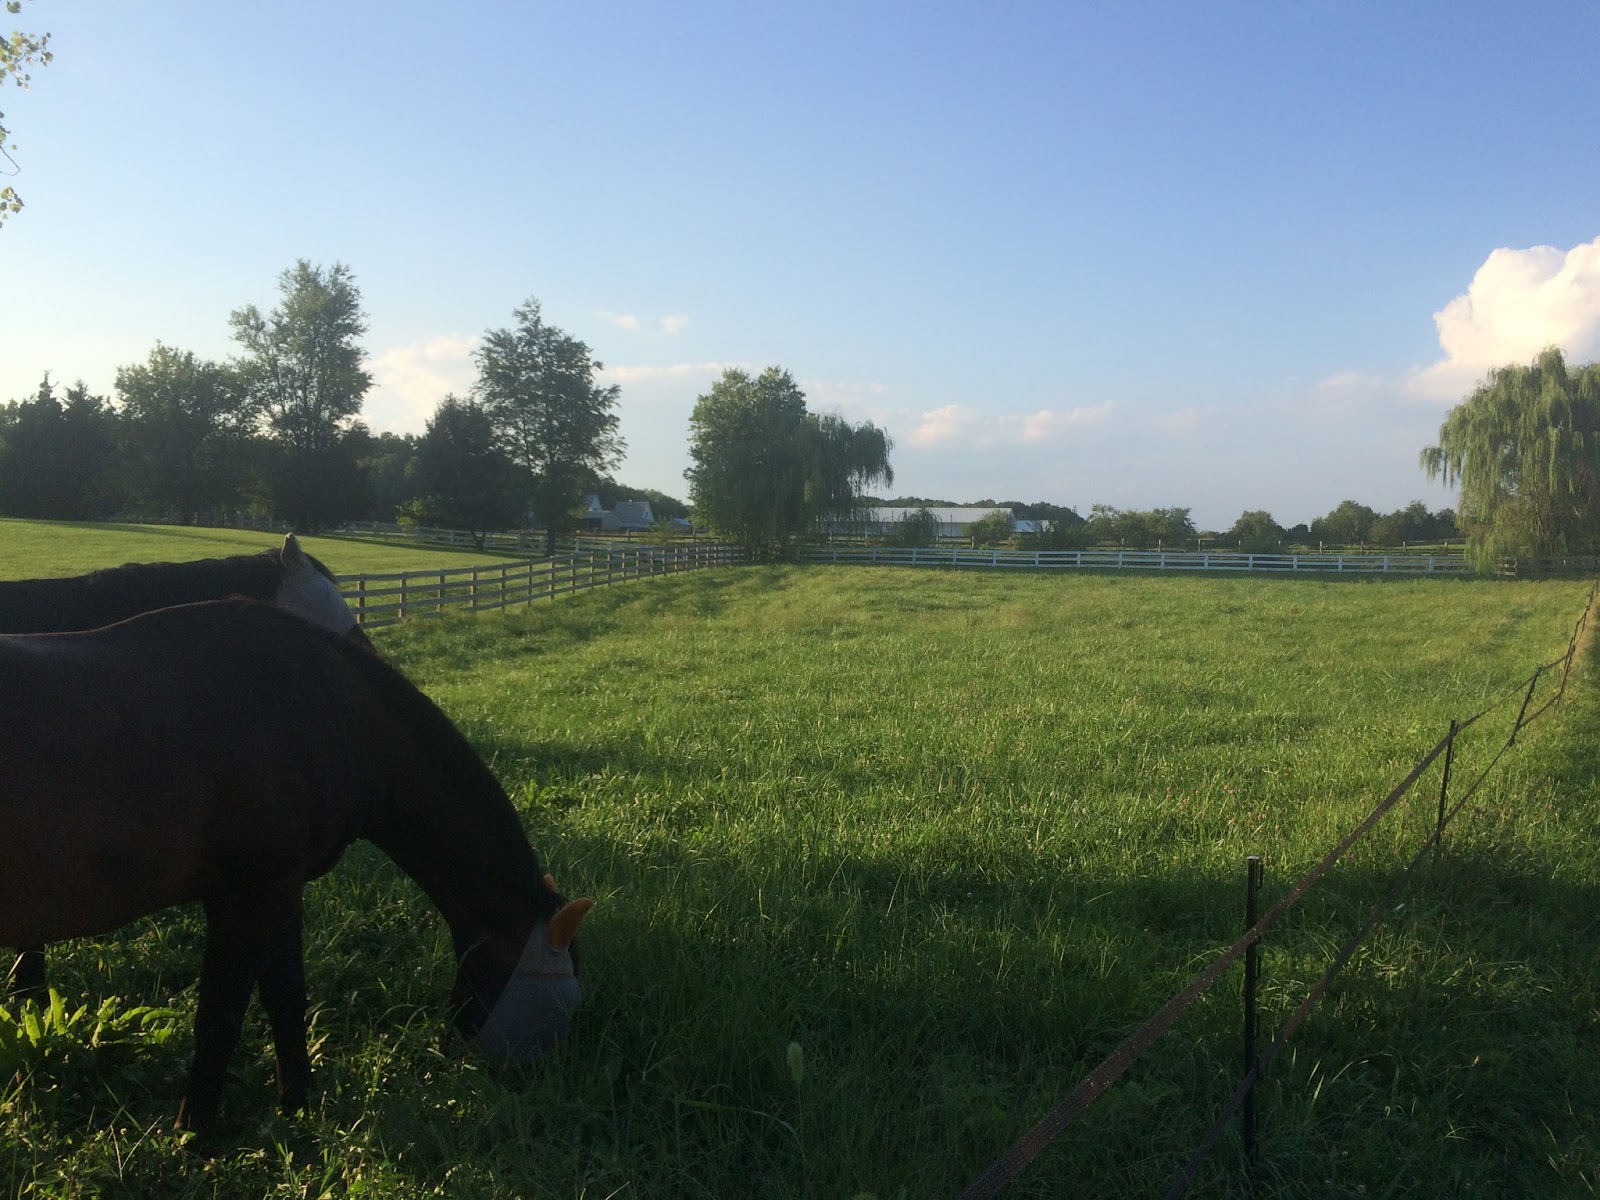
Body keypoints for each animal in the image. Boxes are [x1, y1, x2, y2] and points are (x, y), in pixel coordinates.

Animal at [0, 599, 592, 1135]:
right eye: (563, 1000)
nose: (544, 1082)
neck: (322, 707)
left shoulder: (281, 890)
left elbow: (285, 996)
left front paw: (298, 1105)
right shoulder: (241, 898)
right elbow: (219, 1014)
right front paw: (197, 1136)